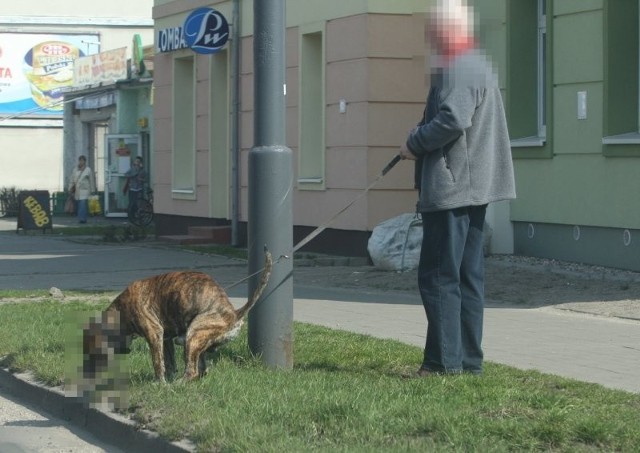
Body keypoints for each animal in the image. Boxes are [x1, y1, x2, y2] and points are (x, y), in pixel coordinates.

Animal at [84, 249, 272, 380]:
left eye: (95, 354)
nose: (87, 374)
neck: (121, 312)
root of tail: (234, 314)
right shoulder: (166, 339)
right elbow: (168, 362)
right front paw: (167, 379)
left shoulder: (154, 335)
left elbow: (157, 363)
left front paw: (161, 384)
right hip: (195, 341)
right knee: (201, 369)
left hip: (194, 334)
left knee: (192, 371)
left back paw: (180, 383)